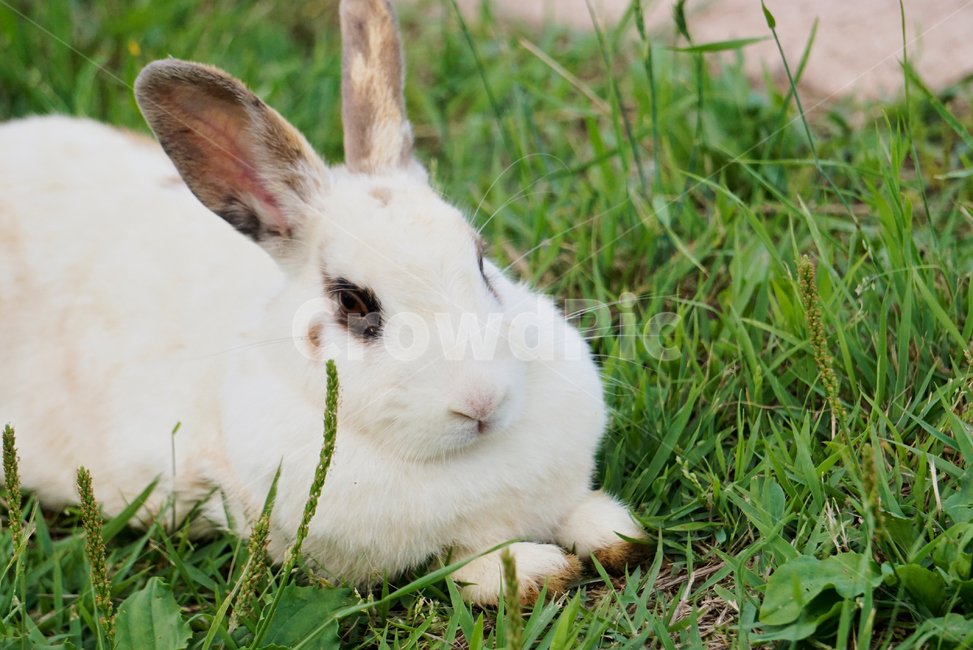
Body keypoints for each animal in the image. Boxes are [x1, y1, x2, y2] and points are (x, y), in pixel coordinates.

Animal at [0, 0, 648, 605]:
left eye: (482, 262)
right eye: (353, 302)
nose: (482, 402)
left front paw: (618, 534)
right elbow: (464, 559)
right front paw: (537, 574)